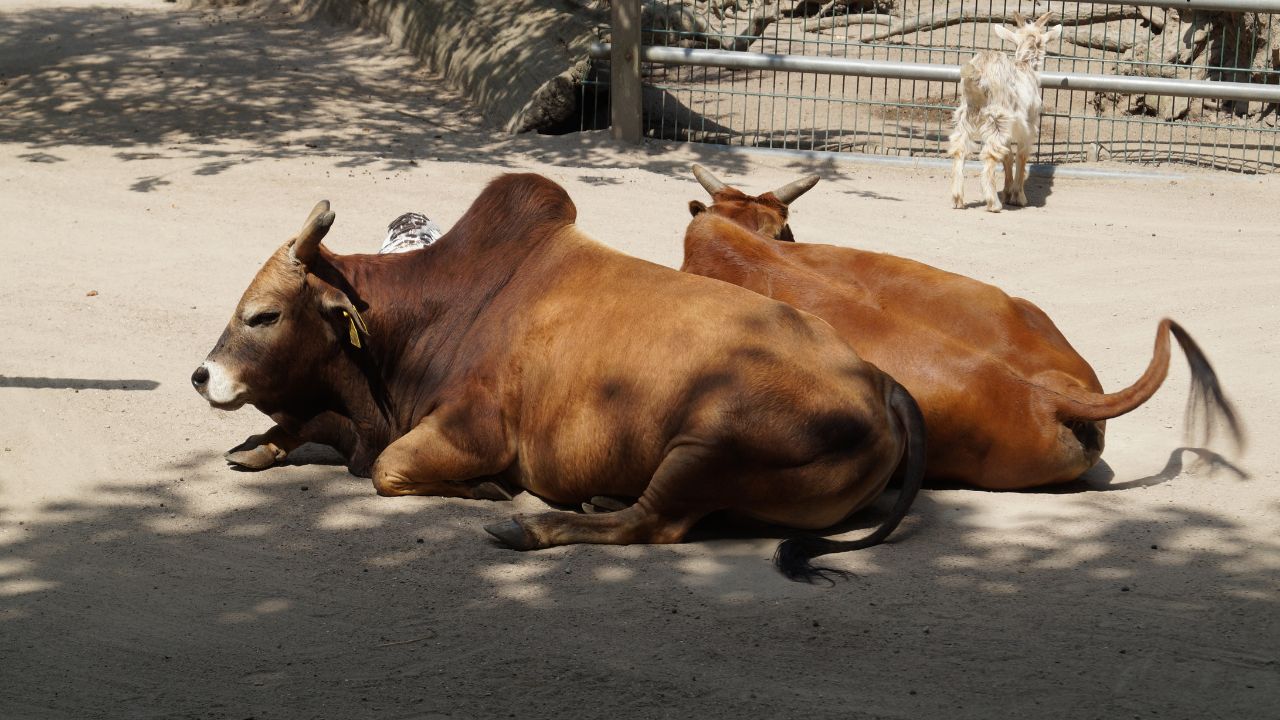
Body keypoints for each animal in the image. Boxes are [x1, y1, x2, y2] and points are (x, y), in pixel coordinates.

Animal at [191, 173, 928, 582]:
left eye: (263, 315)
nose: (202, 376)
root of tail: (878, 382)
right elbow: (310, 430)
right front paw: (260, 444)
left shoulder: (471, 432)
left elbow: (385, 469)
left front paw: (487, 491)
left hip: (707, 445)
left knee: (656, 524)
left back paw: (534, 527)